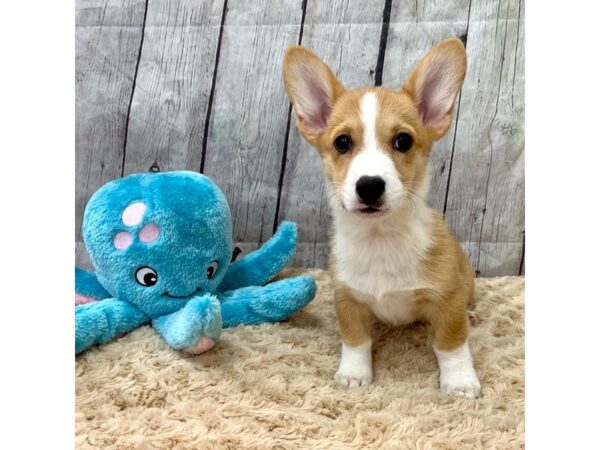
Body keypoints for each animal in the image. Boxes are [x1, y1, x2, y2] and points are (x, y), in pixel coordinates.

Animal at [282, 38, 482, 398]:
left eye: (403, 140)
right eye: (342, 142)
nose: (370, 186)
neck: (380, 239)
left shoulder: (447, 301)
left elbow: (451, 344)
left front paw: (459, 381)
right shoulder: (347, 299)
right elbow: (355, 341)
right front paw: (354, 374)